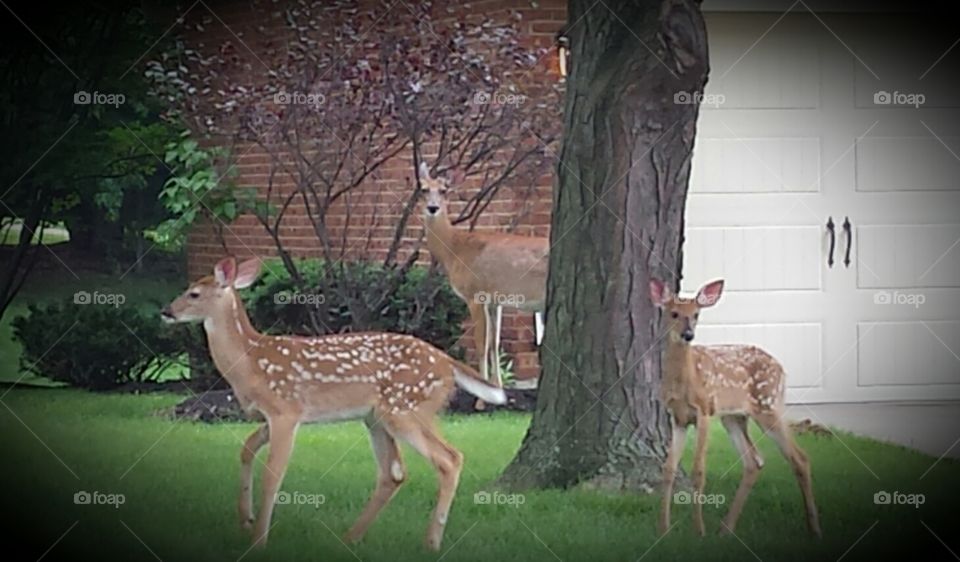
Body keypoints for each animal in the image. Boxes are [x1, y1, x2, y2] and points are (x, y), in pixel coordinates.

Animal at [161, 256, 506, 550]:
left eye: (193, 293)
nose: (167, 311)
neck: (250, 363)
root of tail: (448, 363)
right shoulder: (268, 416)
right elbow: (245, 449)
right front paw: (245, 520)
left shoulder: (286, 410)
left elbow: (273, 475)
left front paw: (258, 540)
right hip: (377, 417)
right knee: (394, 472)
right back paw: (350, 538)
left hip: (405, 407)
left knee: (449, 458)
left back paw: (431, 543)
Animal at [419, 161, 548, 389]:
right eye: (423, 189)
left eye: (444, 190)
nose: (432, 208)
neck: (455, 248)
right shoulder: (496, 301)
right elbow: (494, 343)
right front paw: (498, 386)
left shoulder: (474, 294)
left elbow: (481, 344)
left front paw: (483, 391)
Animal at [649, 278, 821, 538]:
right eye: (674, 313)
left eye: (697, 314)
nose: (688, 334)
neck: (685, 379)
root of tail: (781, 368)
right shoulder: (677, 417)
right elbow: (668, 468)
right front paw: (663, 529)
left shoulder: (704, 410)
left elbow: (698, 471)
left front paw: (699, 531)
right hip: (733, 417)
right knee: (754, 461)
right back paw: (725, 528)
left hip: (768, 405)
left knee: (800, 458)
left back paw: (814, 529)